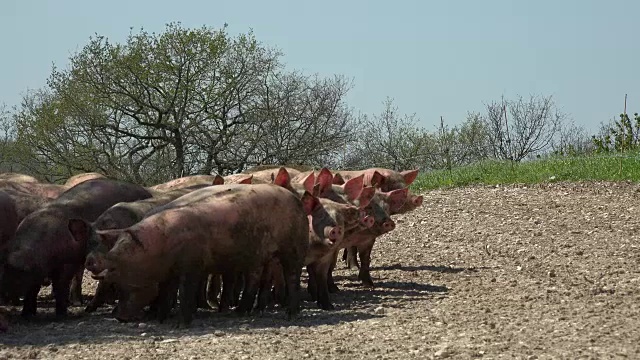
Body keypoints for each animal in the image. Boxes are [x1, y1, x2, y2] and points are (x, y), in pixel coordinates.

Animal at [1, 179, 152, 316]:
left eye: (16, 273)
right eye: (5, 270)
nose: (5, 295)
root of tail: (146, 191)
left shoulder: (69, 262)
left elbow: (61, 285)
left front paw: (61, 315)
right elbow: (33, 288)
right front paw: (27, 315)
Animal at [81, 183, 312, 326]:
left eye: (125, 282)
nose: (119, 317)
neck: (159, 247)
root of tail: (296, 199)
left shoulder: (192, 265)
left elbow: (184, 292)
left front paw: (180, 325)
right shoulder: (171, 271)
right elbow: (167, 292)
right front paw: (160, 319)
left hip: (293, 246)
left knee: (292, 275)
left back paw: (291, 316)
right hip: (258, 255)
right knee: (254, 279)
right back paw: (239, 312)